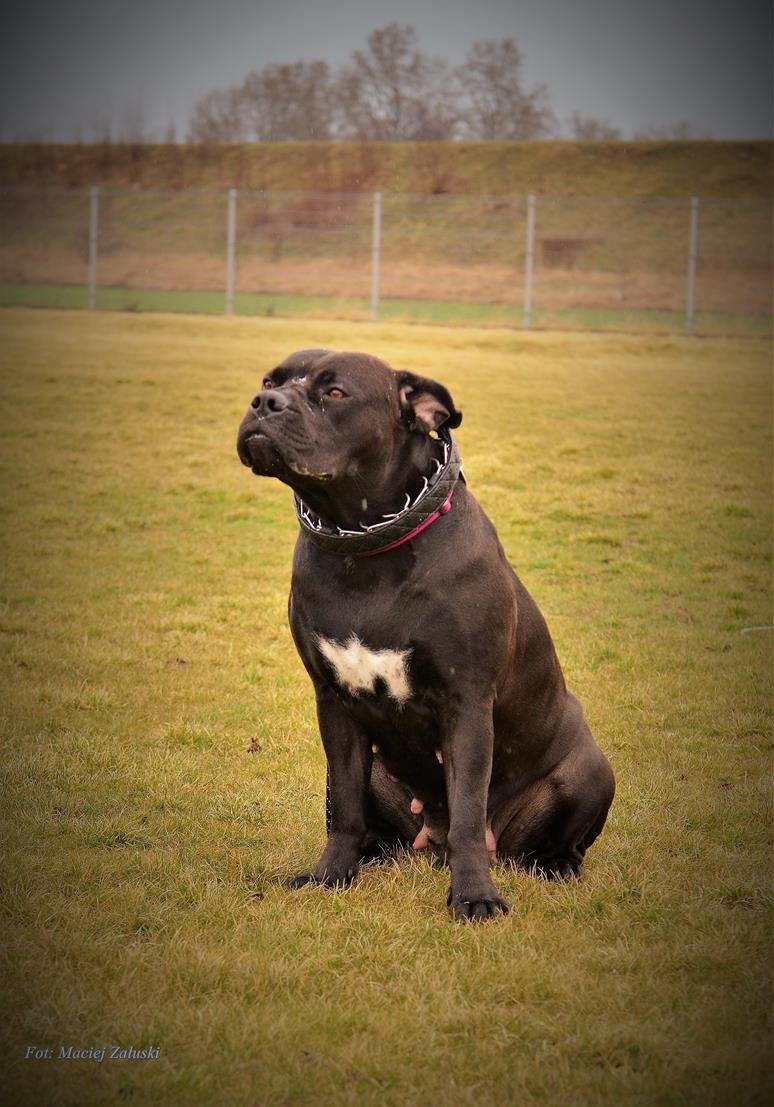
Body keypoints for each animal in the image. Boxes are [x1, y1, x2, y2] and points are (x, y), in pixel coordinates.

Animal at [237, 349, 615, 921]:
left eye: (335, 393)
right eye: (268, 380)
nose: (264, 403)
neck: (365, 547)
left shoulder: (466, 703)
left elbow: (467, 815)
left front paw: (475, 897)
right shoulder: (334, 704)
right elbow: (343, 807)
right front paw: (330, 877)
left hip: (591, 771)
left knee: (544, 839)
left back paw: (554, 867)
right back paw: (372, 854)